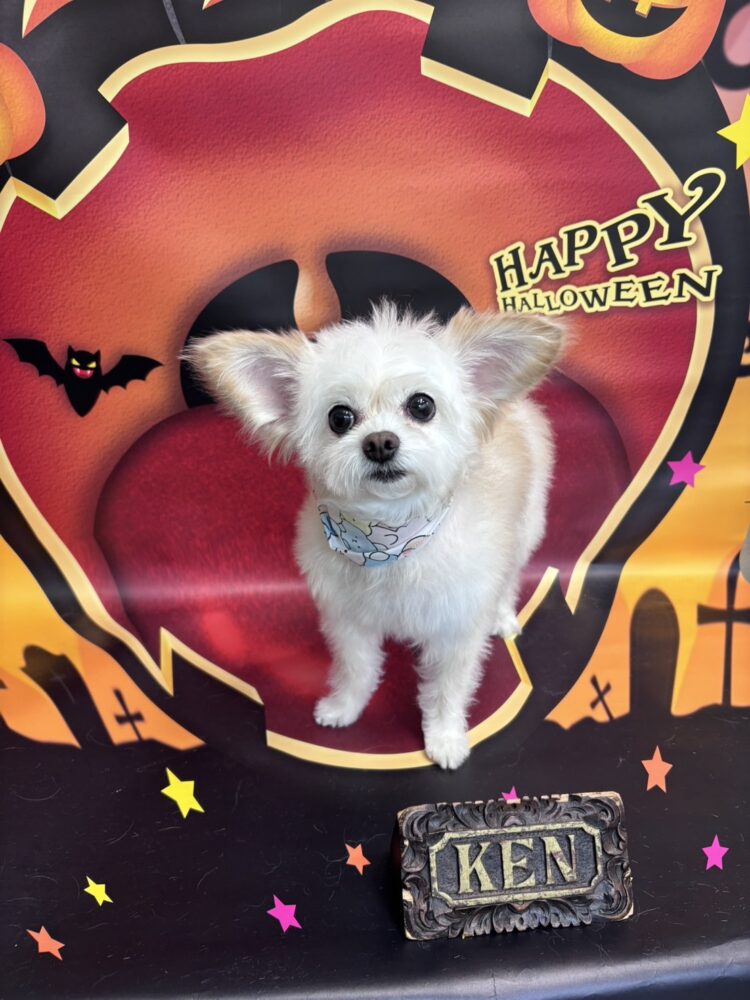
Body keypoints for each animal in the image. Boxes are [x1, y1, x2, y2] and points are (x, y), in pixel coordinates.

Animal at [186, 302, 564, 769]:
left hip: (527, 526)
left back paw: (504, 616)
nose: (380, 442)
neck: (388, 539)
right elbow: (357, 668)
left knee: (511, 575)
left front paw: (445, 738)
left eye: (422, 406)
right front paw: (345, 706)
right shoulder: (347, 620)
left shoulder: (455, 632)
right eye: (339, 417)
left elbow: (446, 690)